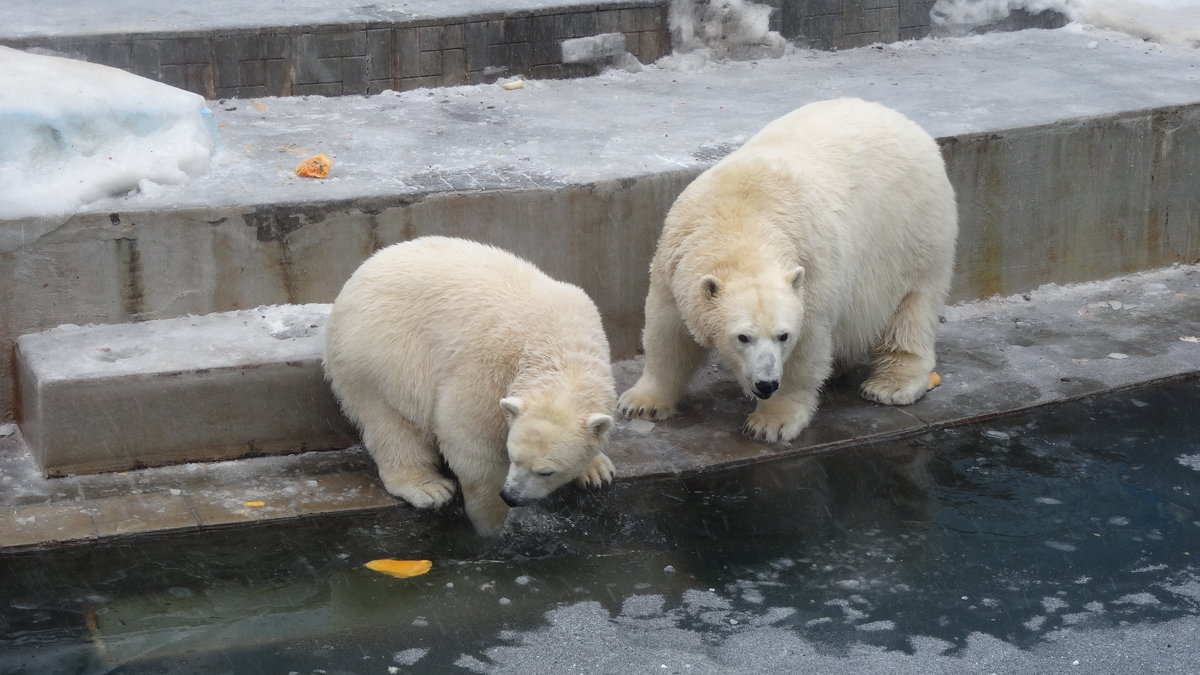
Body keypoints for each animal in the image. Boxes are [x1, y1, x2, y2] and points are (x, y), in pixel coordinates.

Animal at [324, 234, 614, 533]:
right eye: (513, 457)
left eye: (546, 471)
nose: (512, 496)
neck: (559, 346)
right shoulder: (489, 369)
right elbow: (469, 438)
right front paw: (490, 522)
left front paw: (597, 469)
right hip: (381, 355)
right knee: (391, 422)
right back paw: (428, 488)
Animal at [619, 96, 955, 441]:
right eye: (742, 337)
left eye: (783, 335)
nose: (766, 384)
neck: (739, 224)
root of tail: (905, 122)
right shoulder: (675, 264)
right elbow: (667, 332)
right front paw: (641, 403)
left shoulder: (813, 275)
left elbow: (805, 349)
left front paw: (771, 422)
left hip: (913, 233)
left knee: (913, 308)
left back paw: (890, 385)